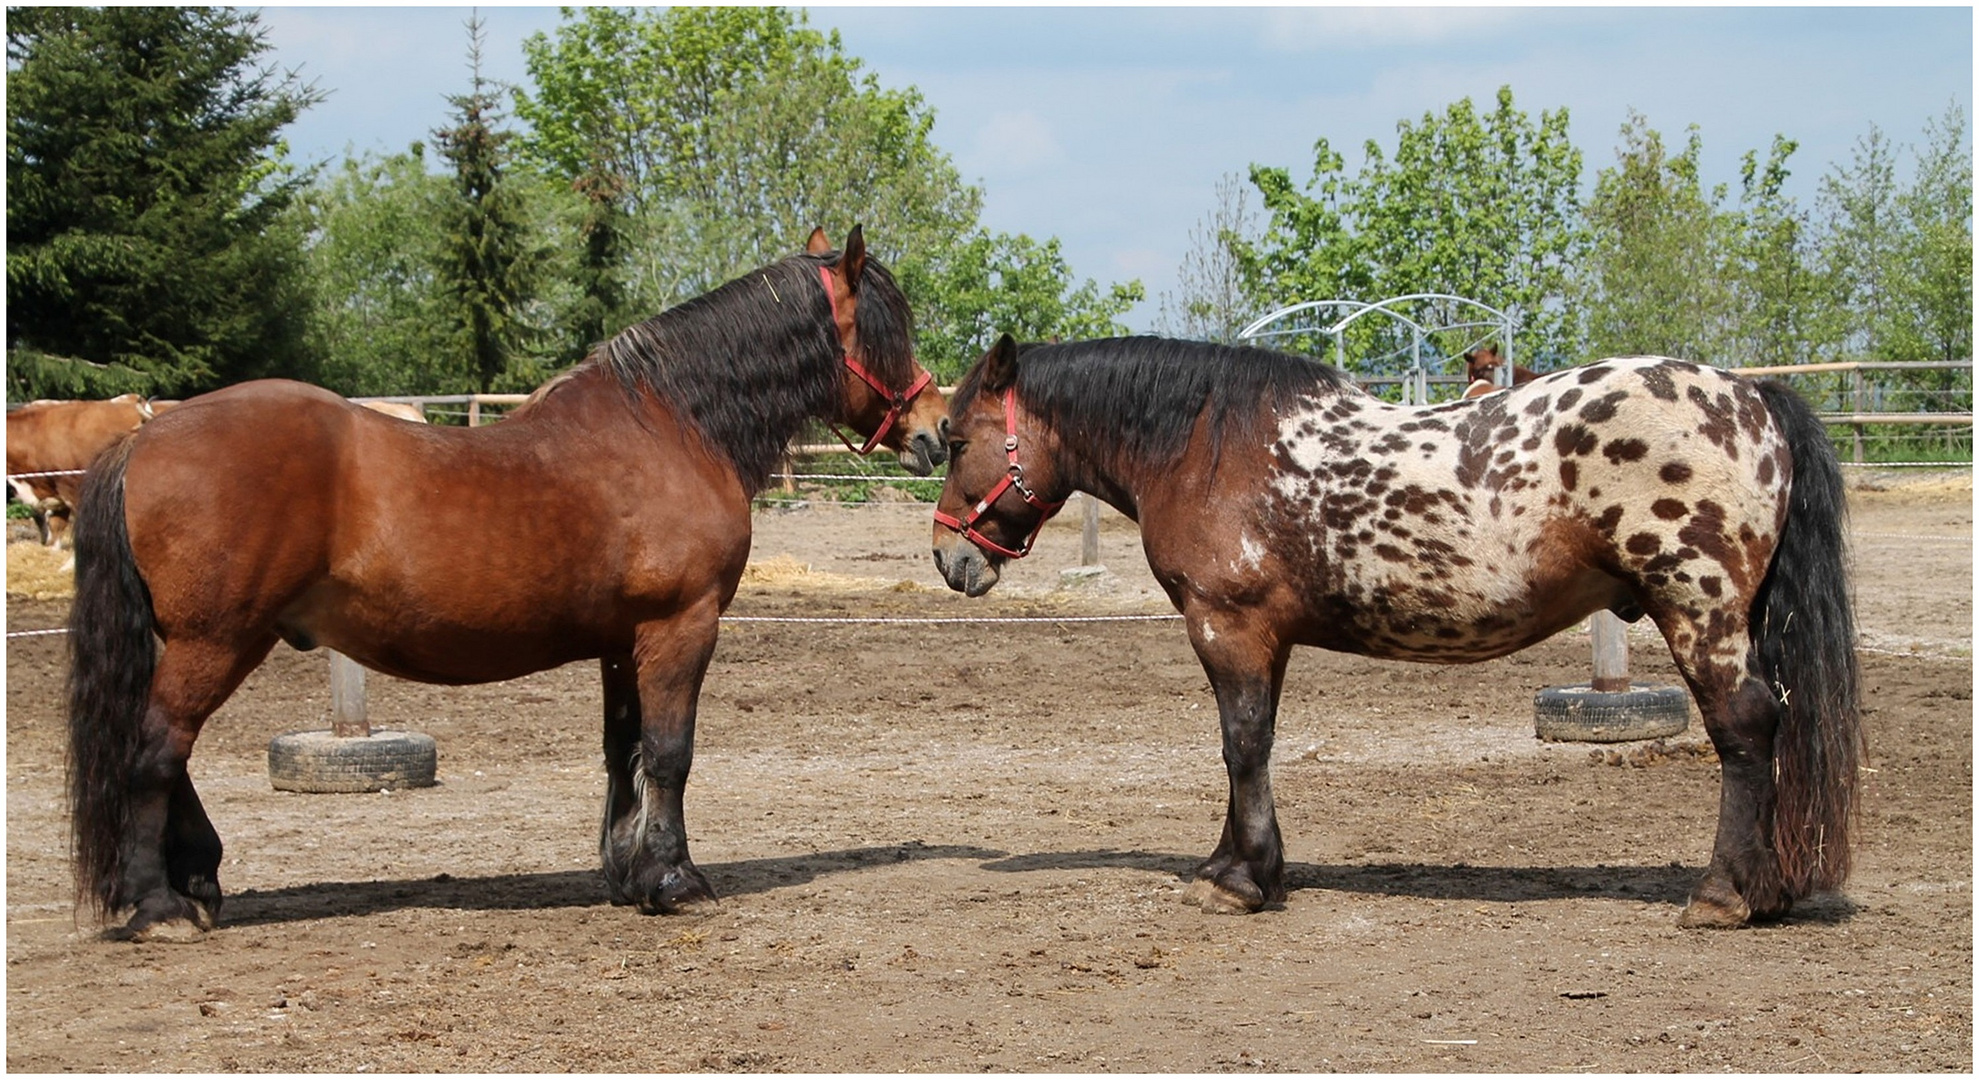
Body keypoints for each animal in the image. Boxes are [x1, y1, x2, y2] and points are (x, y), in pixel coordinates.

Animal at [69, 224, 949, 933]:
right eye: (886, 328)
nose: (937, 429)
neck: (670, 428)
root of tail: (142, 441)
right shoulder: (680, 626)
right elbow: (670, 754)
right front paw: (675, 880)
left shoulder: (621, 642)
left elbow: (622, 751)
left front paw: (627, 875)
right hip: (214, 640)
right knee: (154, 752)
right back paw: (157, 906)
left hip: (195, 642)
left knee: (170, 756)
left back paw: (196, 883)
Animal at [934, 334, 1860, 925]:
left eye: (953, 438)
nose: (949, 557)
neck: (1206, 450)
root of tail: (1751, 395)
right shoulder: (1263, 640)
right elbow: (1251, 746)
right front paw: (1243, 867)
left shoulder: (1227, 628)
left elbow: (1241, 746)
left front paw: (1237, 881)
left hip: (1698, 612)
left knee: (1744, 731)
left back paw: (1722, 894)